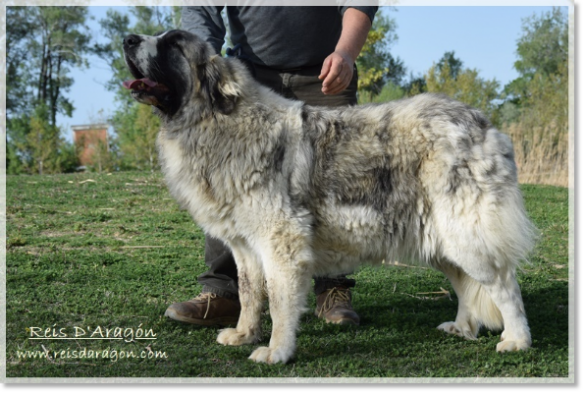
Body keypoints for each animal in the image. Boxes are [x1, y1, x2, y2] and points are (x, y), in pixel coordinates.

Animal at [123, 30, 532, 364]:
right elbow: (250, 293)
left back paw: (516, 340)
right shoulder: (245, 247)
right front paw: (244, 333)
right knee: (466, 284)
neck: (218, 120)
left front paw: (277, 351)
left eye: (173, 44)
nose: (128, 40)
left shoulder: (281, 241)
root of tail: (482, 123)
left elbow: (279, 301)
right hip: (442, 237)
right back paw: (463, 327)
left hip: (466, 233)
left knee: (503, 285)